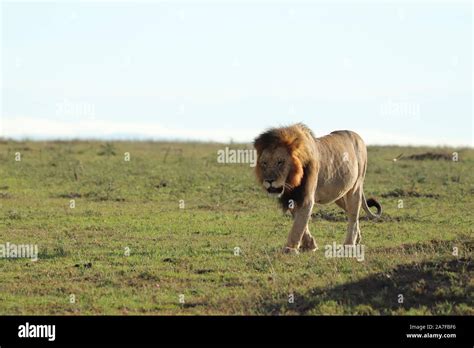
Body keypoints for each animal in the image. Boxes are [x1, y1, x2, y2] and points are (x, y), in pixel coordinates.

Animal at [252, 123, 382, 254]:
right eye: (264, 163)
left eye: (280, 162)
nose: (269, 180)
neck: (291, 181)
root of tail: (357, 135)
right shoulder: (293, 198)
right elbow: (300, 222)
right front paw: (310, 245)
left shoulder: (307, 197)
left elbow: (298, 224)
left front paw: (290, 248)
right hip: (339, 194)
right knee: (351, 212)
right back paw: (357, 239)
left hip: (356, 186)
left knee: (354, 215)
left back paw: (349, 245)